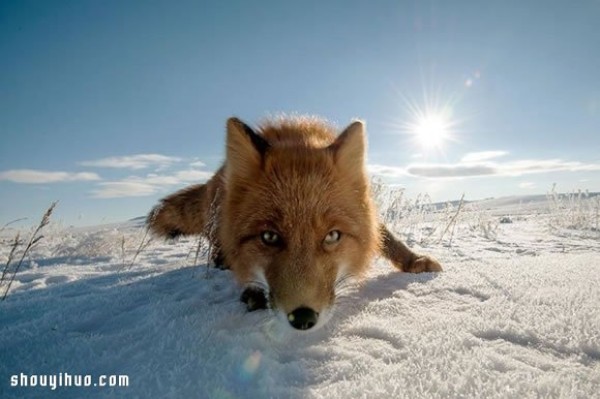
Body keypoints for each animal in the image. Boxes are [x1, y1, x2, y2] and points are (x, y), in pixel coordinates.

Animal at [148, 115, 442, 332]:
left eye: (332, 236)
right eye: (269, 237)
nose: (302, 318)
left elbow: (387, 238)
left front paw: (414, 261)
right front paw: (253, 289)